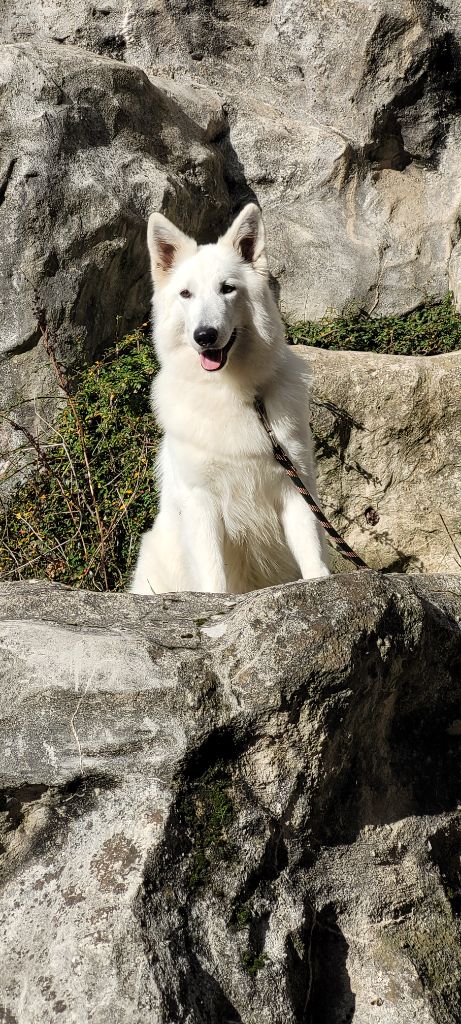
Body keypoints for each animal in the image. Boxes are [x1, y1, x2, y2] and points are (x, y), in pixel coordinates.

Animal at [129, 203, 329, 598]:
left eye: (227, 289)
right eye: (186, 294)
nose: (205, 336)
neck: (230, 392)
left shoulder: (295, 488)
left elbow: (312, 556)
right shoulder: (201, 502)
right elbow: (214, 579)